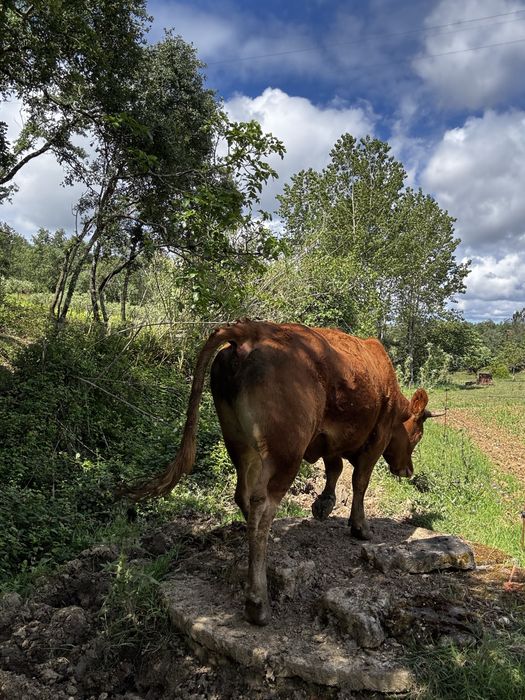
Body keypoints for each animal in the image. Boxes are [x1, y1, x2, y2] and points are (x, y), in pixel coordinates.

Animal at [126, 319, 437, 626]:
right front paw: (360, 526)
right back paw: (257, 600)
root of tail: (251, 329)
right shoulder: (378, 437)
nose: (408, 470)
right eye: (418, 433)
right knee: (261, 505)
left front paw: (324, 504)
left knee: (244, 495)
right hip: (286, 453)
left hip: (240, 442)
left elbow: (334, 468)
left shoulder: (329, 440)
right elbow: (359, 480)